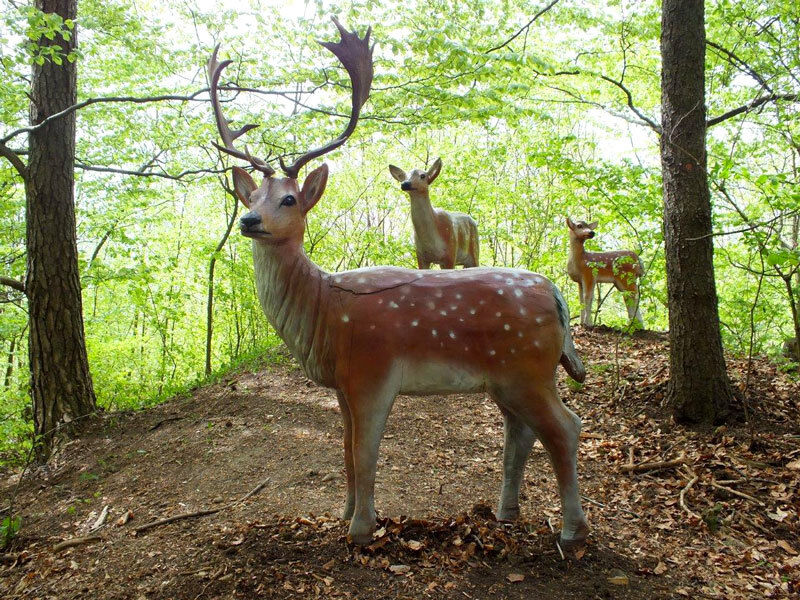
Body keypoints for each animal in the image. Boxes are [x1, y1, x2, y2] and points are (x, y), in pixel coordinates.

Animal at [208, 18, 589, 551]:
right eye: (251, 197)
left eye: (289, 199)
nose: (248, 221)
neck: (326, 312)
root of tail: (555, 296)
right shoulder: (343, 385)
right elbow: (346, 453)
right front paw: (344, 514)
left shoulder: (373, 372)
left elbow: (365, 453)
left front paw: (362, 530)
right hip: (509, 376)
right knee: (522, 432)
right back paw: (505, 513)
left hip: (530, 367)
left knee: (566, 428)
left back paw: (572, 530)